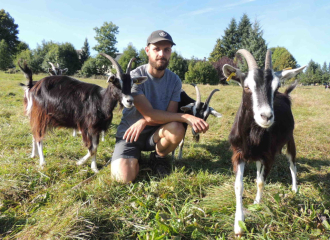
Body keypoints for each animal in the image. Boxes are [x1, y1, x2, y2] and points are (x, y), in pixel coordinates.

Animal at [18, 54, 147, 174]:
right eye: (116, 82)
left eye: (132, 83)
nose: (129, 101)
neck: (100, 101)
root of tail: (34, 86)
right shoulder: (87, 127)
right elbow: (91, 148)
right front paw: (79, 162)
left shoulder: (96, 128)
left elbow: (95, 148)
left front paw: (94, 168)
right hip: (40, 114)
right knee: (39, 135)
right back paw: (42, 162)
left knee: (34, 133)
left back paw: (34, 155)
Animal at [223, 48, 306, 236]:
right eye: (246, 86)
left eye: (276, 87)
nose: (266, 116)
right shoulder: (238, 154)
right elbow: (239, 185)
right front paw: (238, 224)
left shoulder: (269, 156)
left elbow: (261, 182)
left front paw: (257, 204)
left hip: (290, 140)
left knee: (292, 163)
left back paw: (294, 189)